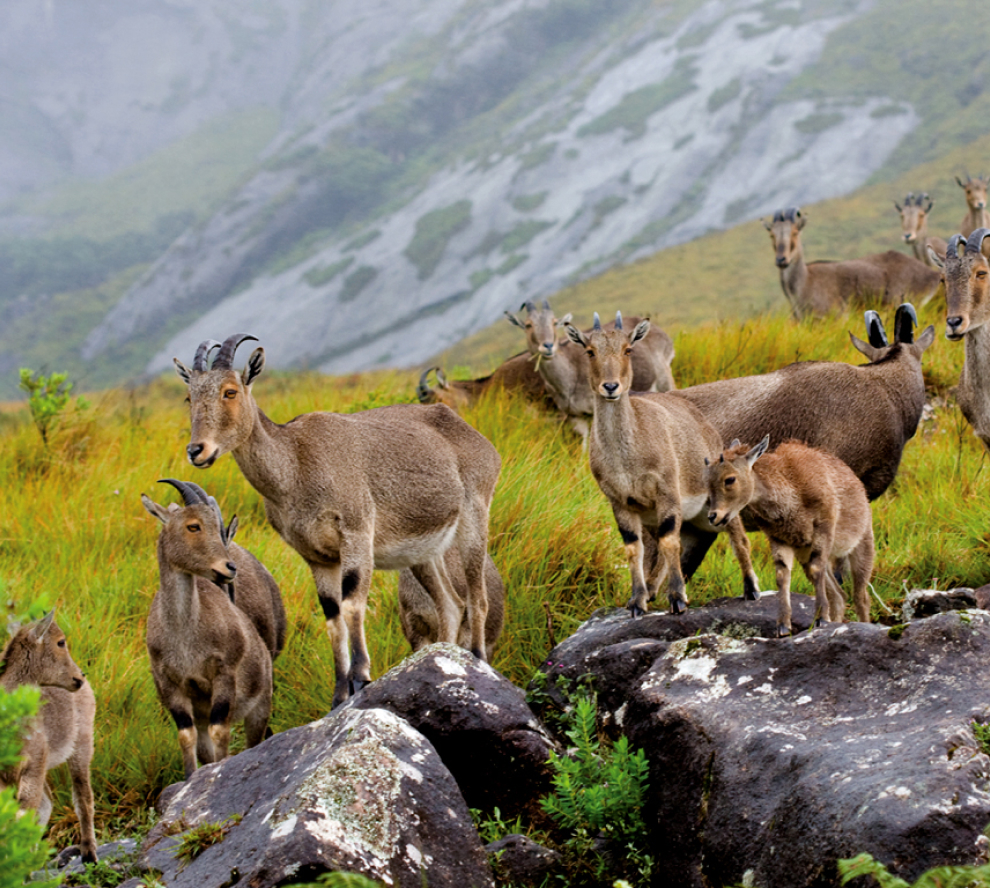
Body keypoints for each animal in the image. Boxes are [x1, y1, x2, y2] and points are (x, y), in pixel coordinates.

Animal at [704, 438, 876, 640]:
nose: (713, 516)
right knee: (839, 595)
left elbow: (816, 569)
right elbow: (782, 575)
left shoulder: (824, 526)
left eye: (730, 479)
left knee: (861, 596)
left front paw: (821, 619)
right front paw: (783, 626)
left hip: (863, 544)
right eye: (706, 481)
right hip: (807, 554)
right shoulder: (780, 538)